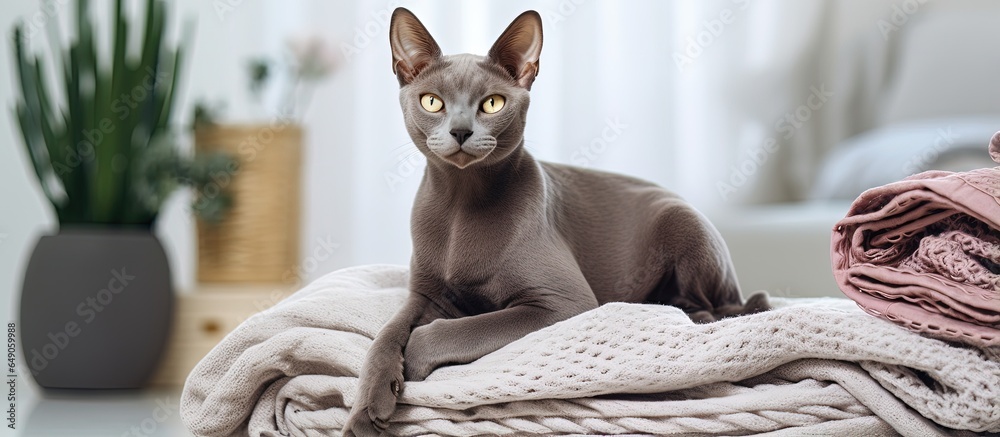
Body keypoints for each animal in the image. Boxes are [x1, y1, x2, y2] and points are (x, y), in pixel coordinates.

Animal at [344, 8, 772, 434]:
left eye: (493, 104)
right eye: (432, 102)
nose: (461, 131)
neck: (461, 204)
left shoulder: (564, 303)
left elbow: (453, 329)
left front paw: (412, 362)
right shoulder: (424, 295)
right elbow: (383, 337)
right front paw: (366, 409)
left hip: (682, 221)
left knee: (716, 305)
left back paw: (674, 307)